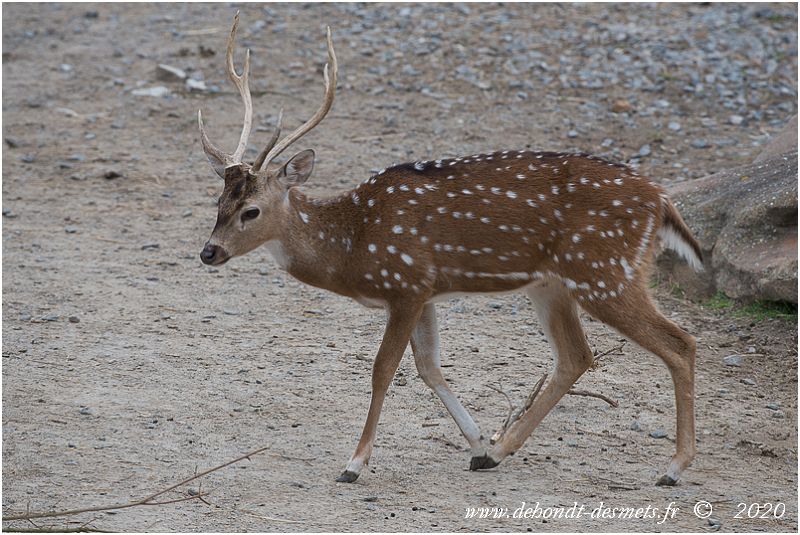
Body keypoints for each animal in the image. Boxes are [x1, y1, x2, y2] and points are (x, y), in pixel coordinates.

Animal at [197, 13, 704, 490]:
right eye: (219, 202)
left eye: (252, 211)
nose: (209, 253)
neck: (354, 246)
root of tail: (661, 200)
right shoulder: (425, 291)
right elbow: (429, 368)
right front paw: (478, 443)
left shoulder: (405, 284)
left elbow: (384, 370)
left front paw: (354, 464)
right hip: (554, 283)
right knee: (576, 356)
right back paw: (499, 451)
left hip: (605, 272)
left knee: (680, 342)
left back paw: (674, 468)